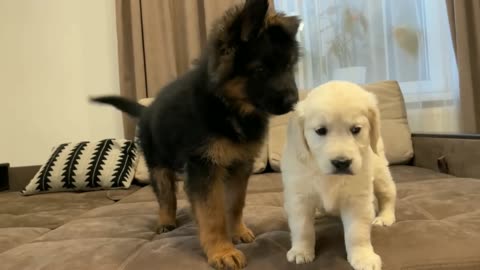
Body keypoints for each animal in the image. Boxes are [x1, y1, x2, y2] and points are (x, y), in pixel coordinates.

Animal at [91, 1, 298, 268]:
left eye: (289, 66)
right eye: (261, 69)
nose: (294, 102)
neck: (228, 106)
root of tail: (147, 110)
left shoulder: (240, 165)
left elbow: (235, 203)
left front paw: (237, 231)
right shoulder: (203, 166)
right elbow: (212, 213)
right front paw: (221, 250)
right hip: (159, 165)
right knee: (166, 196)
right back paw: (166, 220)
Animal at [282, 80, 398, 270]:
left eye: (356, 129)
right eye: (321, 130)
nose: (342, 162)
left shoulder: (357, 199)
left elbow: (357, 233)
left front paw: (363, 257)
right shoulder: (299, 197)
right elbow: (302, 228)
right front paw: (301, 251)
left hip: (380, 170)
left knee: (388, 195)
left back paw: (384, 217)